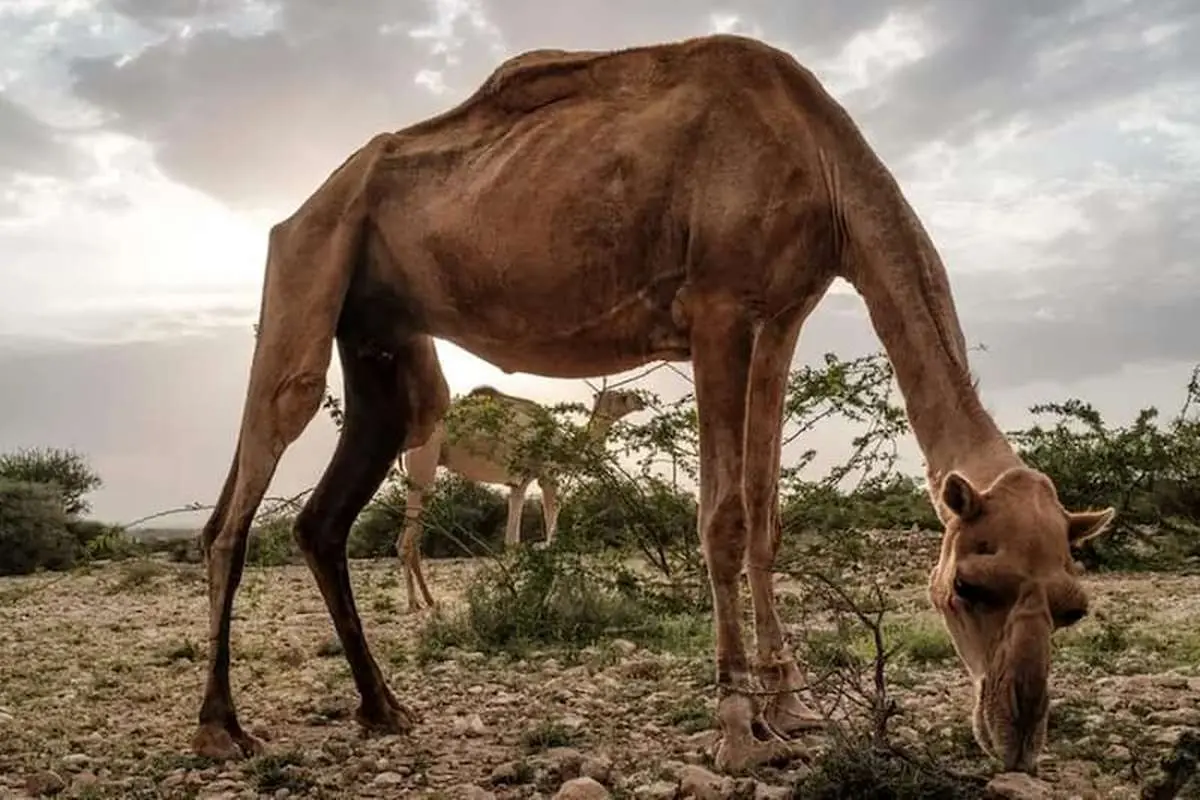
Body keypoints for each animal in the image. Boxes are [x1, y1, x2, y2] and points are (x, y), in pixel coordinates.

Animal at [398, 383, 648, 609]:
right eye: (621, 396)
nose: (640, 400)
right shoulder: (548, 475)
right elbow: (552, 539)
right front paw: (549, 596)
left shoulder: (519, 482)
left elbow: (512, 542)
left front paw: (513, 596)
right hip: (424, 461)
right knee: (406, 540)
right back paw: (413, 603)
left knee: (413, 534)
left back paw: (429, 600)